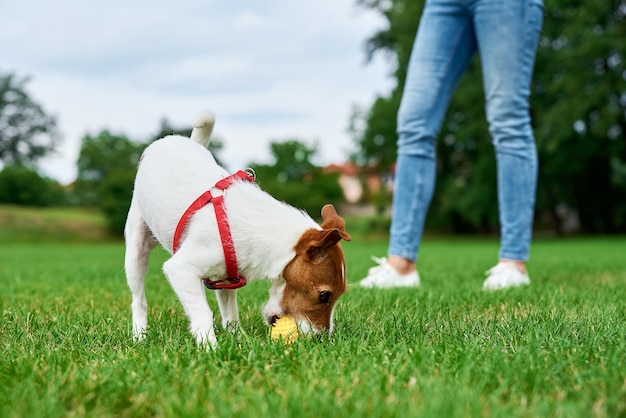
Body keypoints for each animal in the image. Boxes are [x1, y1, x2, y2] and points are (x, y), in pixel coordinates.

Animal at [122, 112, 346, 350]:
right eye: (324, 296)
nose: (322, 338)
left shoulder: (226, 278)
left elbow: (231, 315)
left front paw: (236, 340)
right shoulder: (181, 269)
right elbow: (203, 313)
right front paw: (209, 347)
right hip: (136, 249)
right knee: (139, 300)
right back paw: (139, 334)